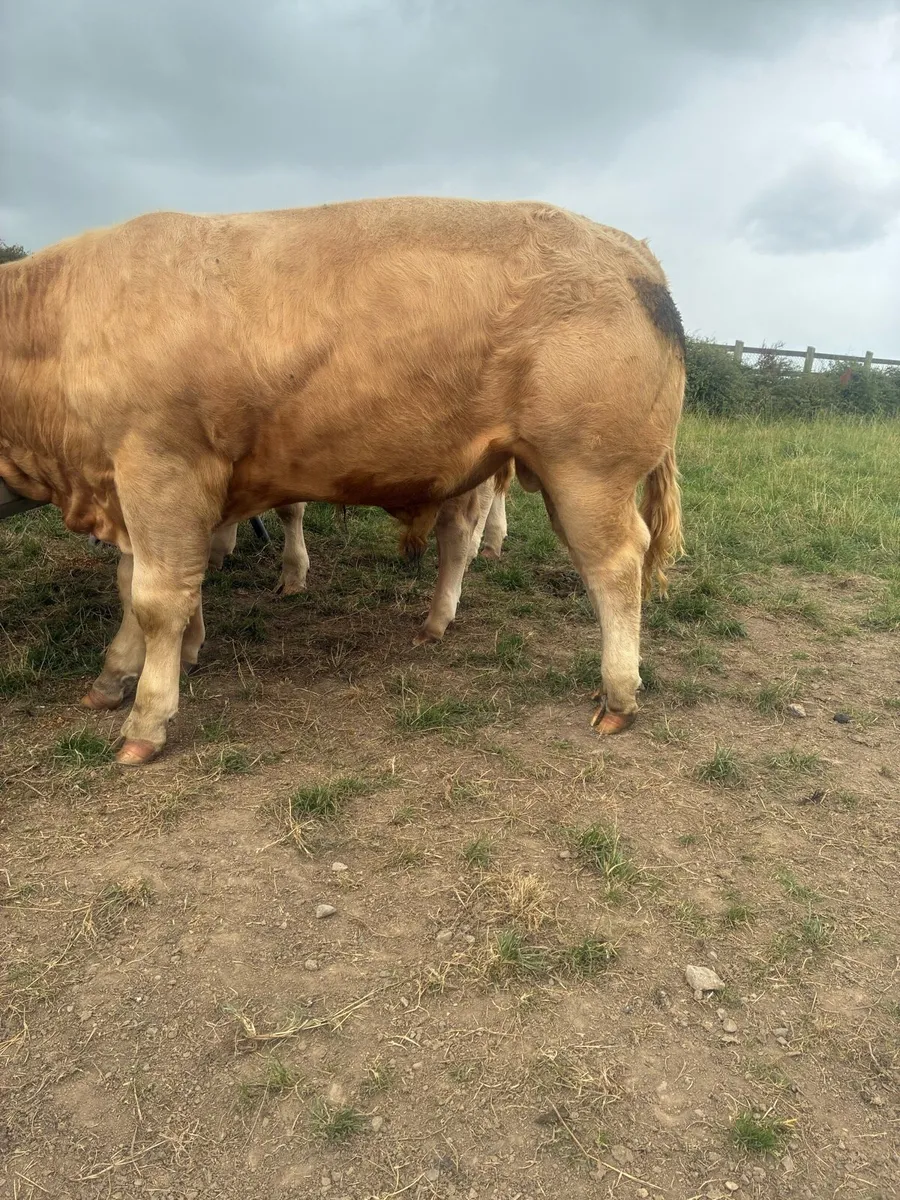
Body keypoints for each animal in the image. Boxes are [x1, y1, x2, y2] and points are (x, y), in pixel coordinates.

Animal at [0, 197, 684, 766]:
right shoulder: (135, 488)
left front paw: (146, 718)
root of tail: (629, 250)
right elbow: (141, 586)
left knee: (615, 564)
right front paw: (121, 674)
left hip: (587, 472)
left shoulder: (160, 466)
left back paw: (618, 694)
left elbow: (156, 598)